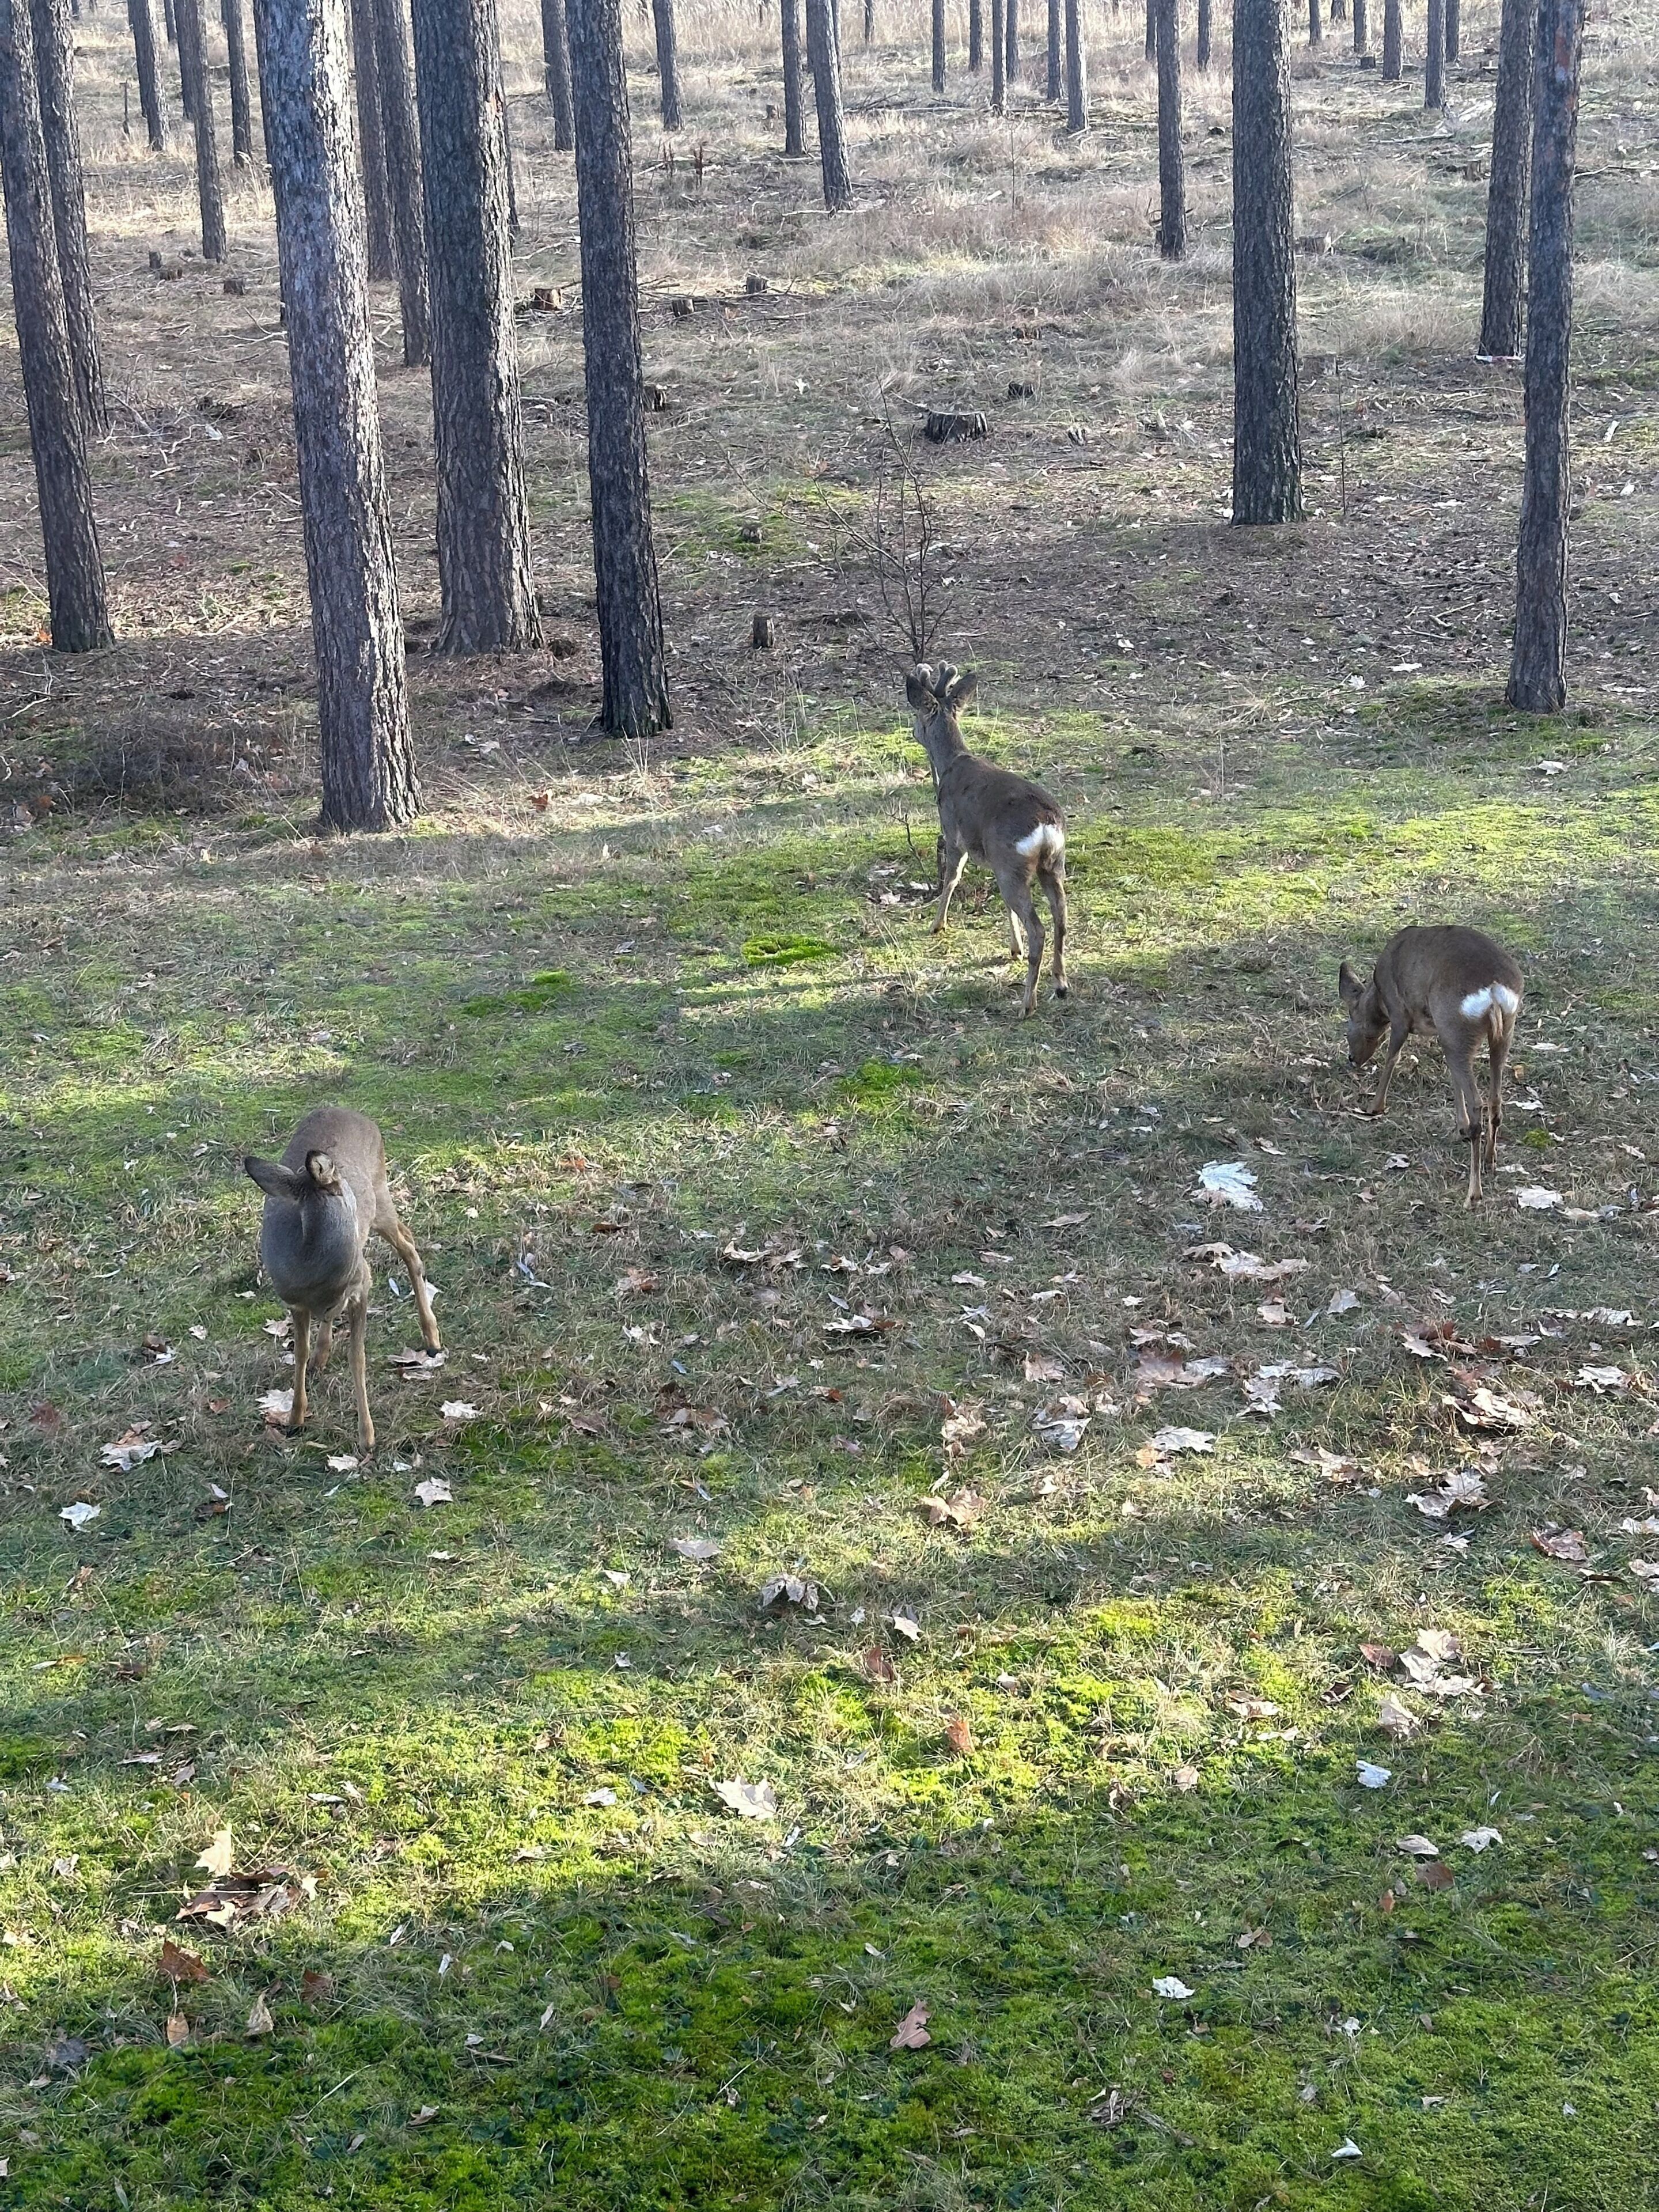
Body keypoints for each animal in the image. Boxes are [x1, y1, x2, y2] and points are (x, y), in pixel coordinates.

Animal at [244, 1108, 441, 1453]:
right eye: (345, 1184)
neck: (314, 1271)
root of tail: (356, 1114)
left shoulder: (362, 1288)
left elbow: (357, 1358)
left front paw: (367, 1436)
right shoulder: (294, 1302)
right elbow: (300, 1354)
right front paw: (295, 1417)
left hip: (381, 1195)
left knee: (409, 1246)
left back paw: (432, 1337)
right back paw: (322, 1354)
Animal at [904, 663, 1069, 1017]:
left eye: (918, 718)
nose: (913, 732)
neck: (951, 763)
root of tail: (1046, 826)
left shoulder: (954, 834)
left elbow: (951, 878)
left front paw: (937, 925)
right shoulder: (994, 860)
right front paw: (1013, 948)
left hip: (1013, 864)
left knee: (1039, 928)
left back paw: (1027, 1004)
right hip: (1050, 865)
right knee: (1060, 917)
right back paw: (1061, 984)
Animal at [1337, 926, 1524, 1205]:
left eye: (1352, 1017)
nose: (1352, 1059)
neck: (1379, 997)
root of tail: (1493, 992)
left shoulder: (1400, 1013)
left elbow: (1393, 1057)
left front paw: (1374, 1107)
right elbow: (1454, 1081)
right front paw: (1459, 1127)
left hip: (1456, 1028)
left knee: (1478, 1102)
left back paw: (1474, 1193)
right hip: (1496, 1034)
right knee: (1495, 1099)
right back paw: (1490, 1160)